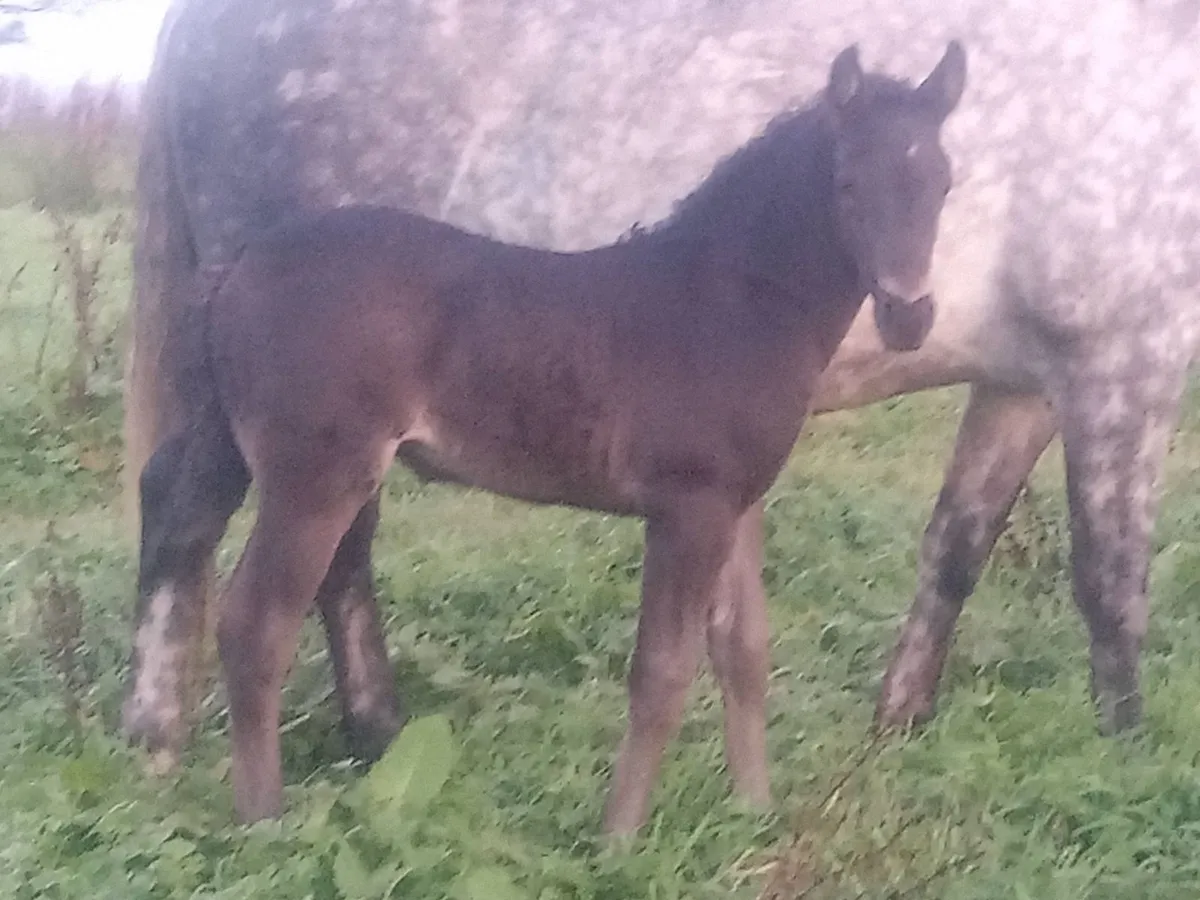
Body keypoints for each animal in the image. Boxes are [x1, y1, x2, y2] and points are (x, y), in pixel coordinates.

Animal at [124, 0, 1200, 803]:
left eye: (945, 179)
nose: (906, 308)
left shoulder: (1024, 384)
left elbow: (955, 552)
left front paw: (894, 730)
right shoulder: (1123, 365)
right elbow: (1111, 585)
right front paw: (1125, 761)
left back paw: (370, 736)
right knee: (200, 516)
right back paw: (163, 747)